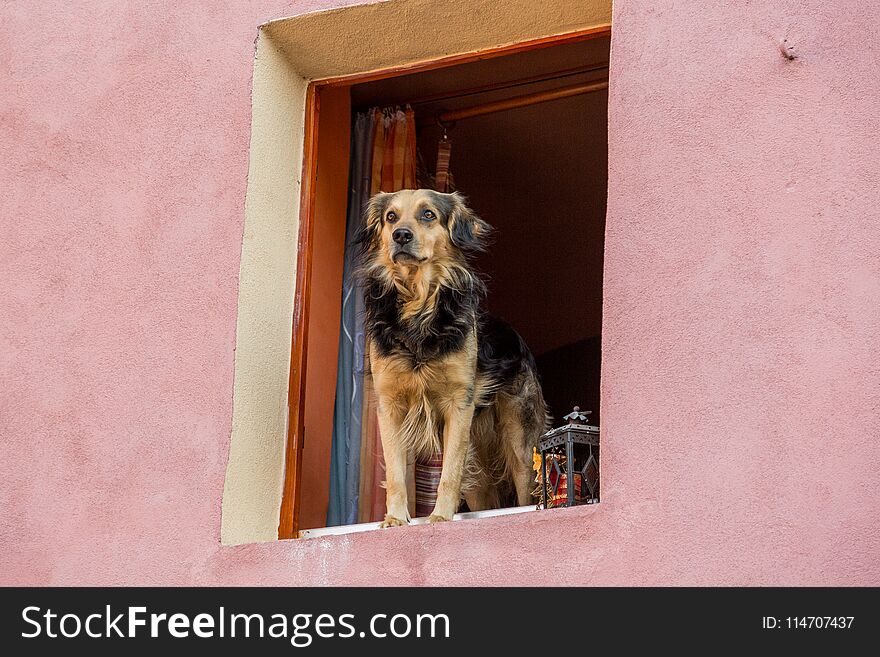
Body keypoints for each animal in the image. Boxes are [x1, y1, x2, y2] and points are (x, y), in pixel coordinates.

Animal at [352, 187, 548, 524]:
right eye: (391, 217)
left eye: (428, 214)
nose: (400, 235)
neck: (418, 304)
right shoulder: (390, 404)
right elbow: (395, 473)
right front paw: (395, 519)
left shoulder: (459, 404)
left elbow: (449, 473)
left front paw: (441, 518)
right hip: (478, 461)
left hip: (519, 442)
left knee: (524, 485)